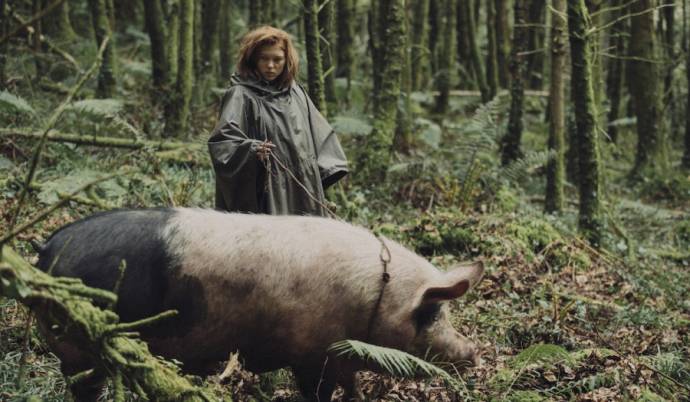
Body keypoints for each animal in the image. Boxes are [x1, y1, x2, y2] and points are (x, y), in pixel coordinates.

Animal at [35, 209, 482, 400]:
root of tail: (46, 249)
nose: (474, 351)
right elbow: (317, 392)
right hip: (78, 344)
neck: (375, 298)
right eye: (433, 313)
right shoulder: (312, 354)